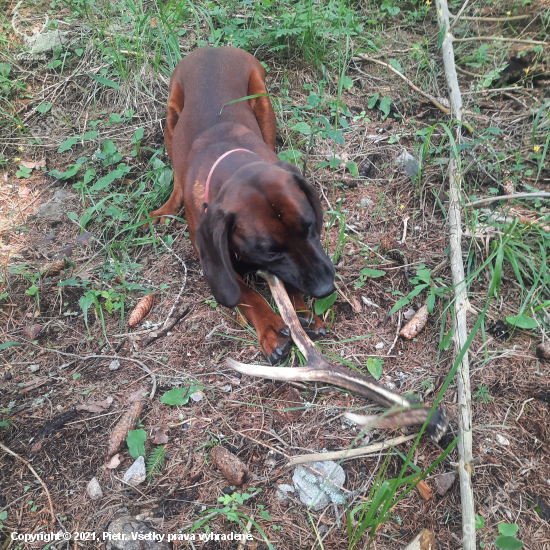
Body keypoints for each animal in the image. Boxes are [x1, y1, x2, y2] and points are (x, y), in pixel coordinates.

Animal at [149, 47, 336, 366]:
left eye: (310, 226)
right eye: (270, 250)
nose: (326, 288)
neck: (230, 160)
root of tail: (212, 47)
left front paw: (300, 308)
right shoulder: (207, 254)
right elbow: (246, 293)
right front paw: (271, 326)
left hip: (262, 100)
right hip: (171, 118)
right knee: (175, 174)